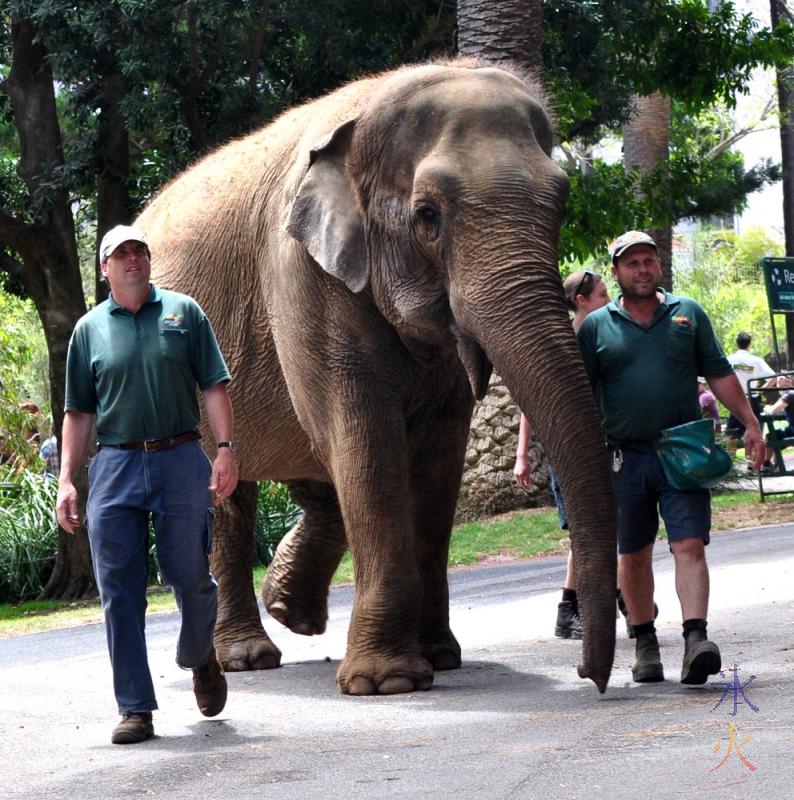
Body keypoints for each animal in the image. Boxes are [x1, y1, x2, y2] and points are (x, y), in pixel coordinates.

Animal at [139, 57, 616, 692]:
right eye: (428, 216)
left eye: (561, 204)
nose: (590, 674)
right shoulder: (301, 275)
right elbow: (365, 440)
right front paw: (388, 682)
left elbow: (437, 460)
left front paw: (439, 657)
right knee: (232, 496)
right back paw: (247, 657)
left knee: (318, 477)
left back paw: (293, 611)